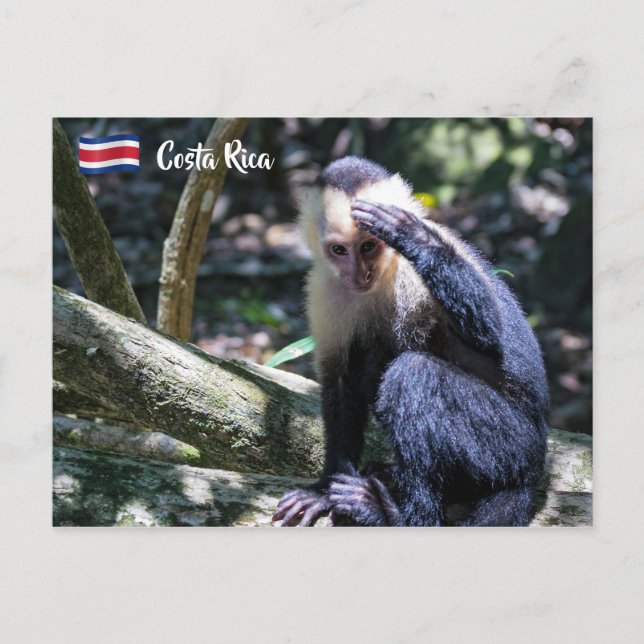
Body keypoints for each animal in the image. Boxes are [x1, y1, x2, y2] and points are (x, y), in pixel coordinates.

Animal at [272, 156, 549, 527]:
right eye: (339, 250)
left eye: (368, 246)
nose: (359, 275)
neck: (384, 275)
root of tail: (535, 467)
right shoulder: (325, 288)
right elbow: (340, 381)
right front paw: (323, 488)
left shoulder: (414, 272)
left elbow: (489, 333)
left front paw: (412, 234)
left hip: (513, 446)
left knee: (413, 375)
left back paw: (401, 515)